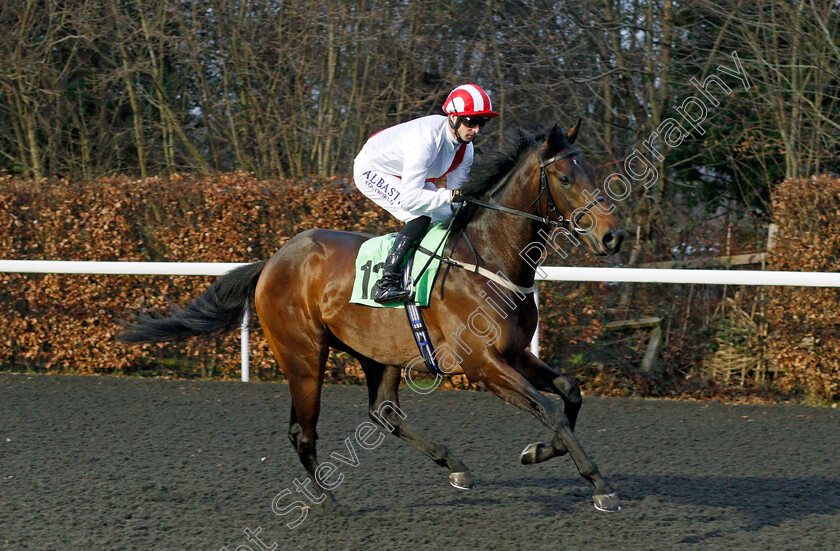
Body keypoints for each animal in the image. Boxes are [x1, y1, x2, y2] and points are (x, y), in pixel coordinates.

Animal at [121, 119, 628, 512]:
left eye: (592, 169)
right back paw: (328, 501)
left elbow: (570, 393)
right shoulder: (482, 364)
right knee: (303, 432)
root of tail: (272, 261)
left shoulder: (515, 353)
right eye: (565, 179)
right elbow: (550, 409)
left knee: (383, 413)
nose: (613, 236)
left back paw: (455, 467)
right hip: (304, 357)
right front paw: (600, 484)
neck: (491, 258)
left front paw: (538, 452)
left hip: (375, 352)